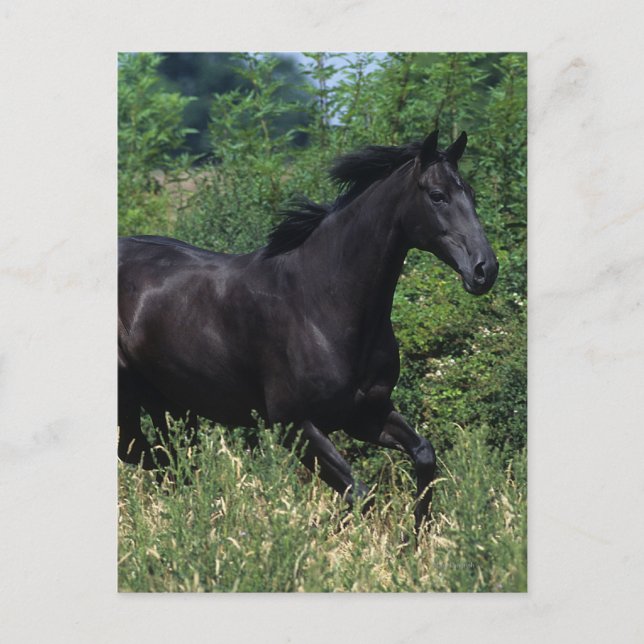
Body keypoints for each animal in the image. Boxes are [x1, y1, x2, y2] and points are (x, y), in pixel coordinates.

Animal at [118, 130, 498, 532]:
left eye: (471, 193)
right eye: (437, 195)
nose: (484, 269)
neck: (317, 301)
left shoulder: (366, 413)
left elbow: (423, 456)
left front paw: (414, 540)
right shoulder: (295, 426)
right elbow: (360, 494)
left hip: (172, 405)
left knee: (171, 461)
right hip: (131, 401)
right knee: (145, 456)